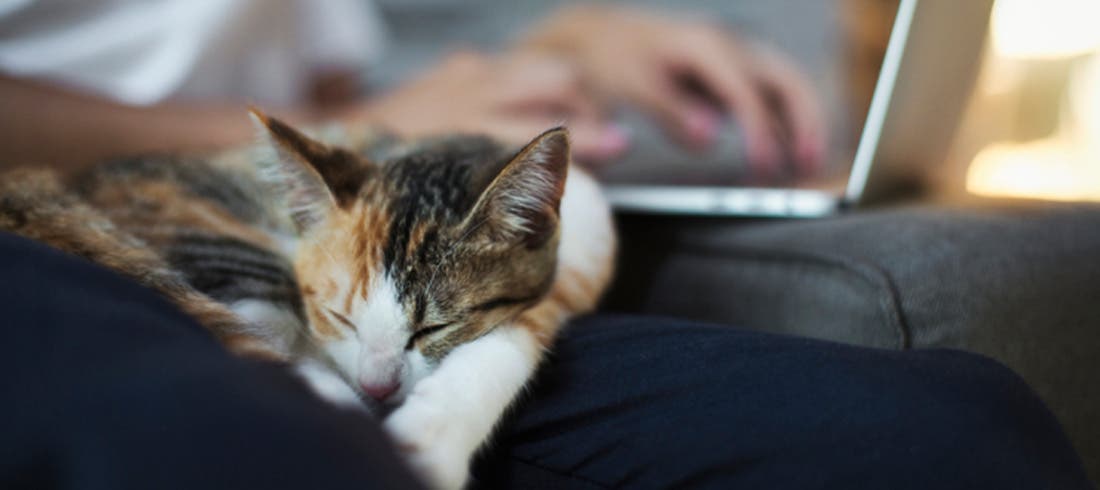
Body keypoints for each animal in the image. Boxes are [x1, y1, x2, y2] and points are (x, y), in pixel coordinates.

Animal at [0, 111, 620, 488]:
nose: (377, 388)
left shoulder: (584, 252)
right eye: (339, 316)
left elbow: (514, 336)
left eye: (432, 330)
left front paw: (430, 435)